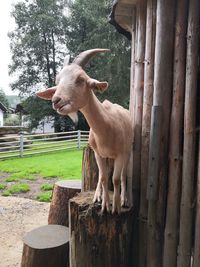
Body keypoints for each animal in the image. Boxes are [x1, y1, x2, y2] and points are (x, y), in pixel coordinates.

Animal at [36, 49, 133, 215]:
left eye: (81, 79)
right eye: (58, 81)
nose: (56, 100)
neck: (108, 126)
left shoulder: (122, 153)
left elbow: (116, 179)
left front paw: (116, 207)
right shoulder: (98, 153)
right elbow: (103, 177)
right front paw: (105, 205)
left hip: (127, 152)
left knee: (124, 175)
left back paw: (124, 199)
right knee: (102, 175)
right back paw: (97, 196)